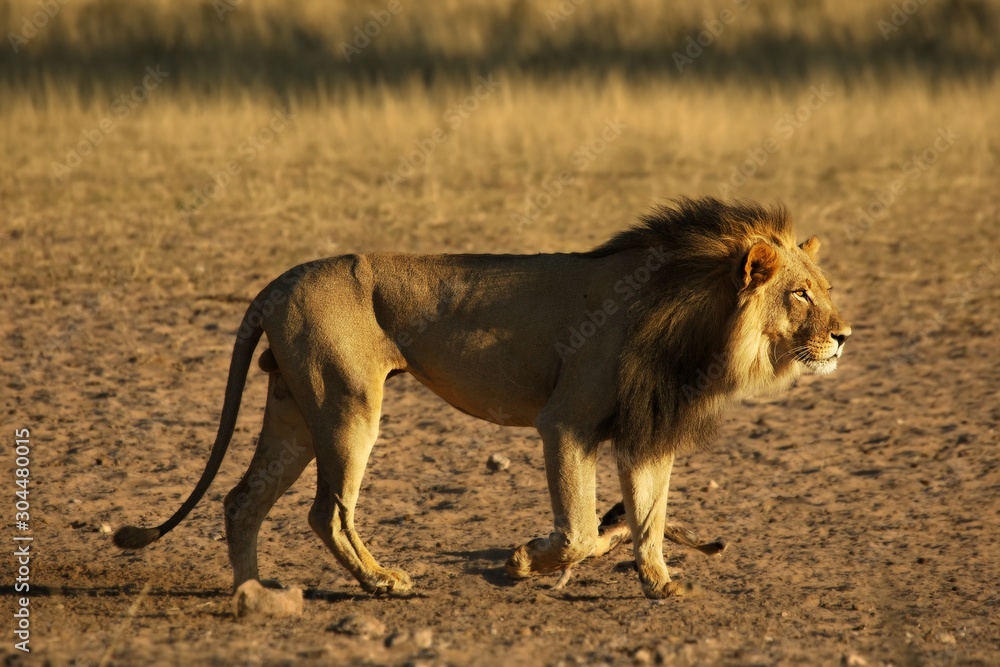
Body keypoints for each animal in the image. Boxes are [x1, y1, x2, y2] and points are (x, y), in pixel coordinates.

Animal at [115, 197, 850, 599]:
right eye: (800, 295)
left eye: (824, 288)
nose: (844, 336)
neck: (695, 322)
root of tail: (278, 280)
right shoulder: (565, 422)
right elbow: (580, 532)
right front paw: (521, 562)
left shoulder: (649, 429)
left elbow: (646, 519)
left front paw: (661, 583)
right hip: (347, 403)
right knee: (328, 511)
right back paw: (382, 582)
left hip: (296, 409)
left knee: (242, 500)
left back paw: (253, 593)